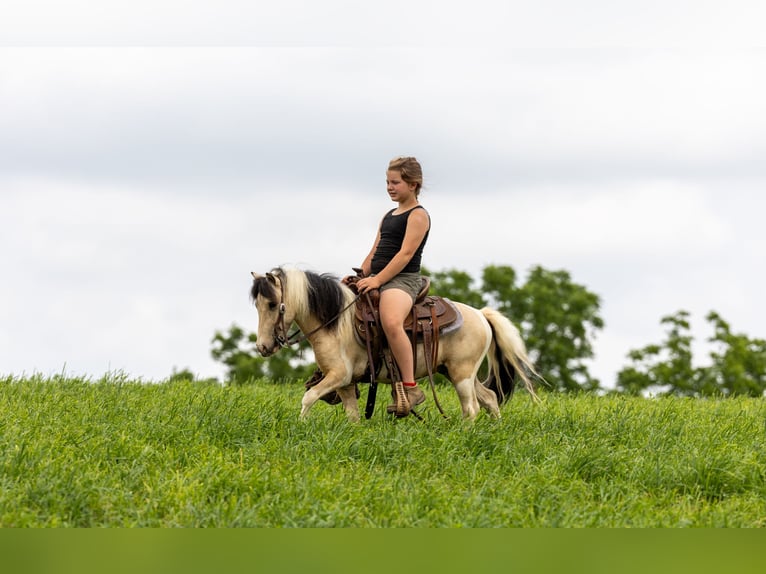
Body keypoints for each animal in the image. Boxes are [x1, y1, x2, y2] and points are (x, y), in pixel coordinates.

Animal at [250, 267, 540, 421]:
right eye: (257, 305)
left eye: (273, 304)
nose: (263, 347)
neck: (337, 321)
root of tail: (481, 314)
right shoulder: (345, 383)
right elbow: (352, 416)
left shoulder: (338, 375)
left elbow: (308, 397)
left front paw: (301, 424)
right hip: (454, 371)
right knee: (489, 398)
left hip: (462, 374)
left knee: (471, 408)